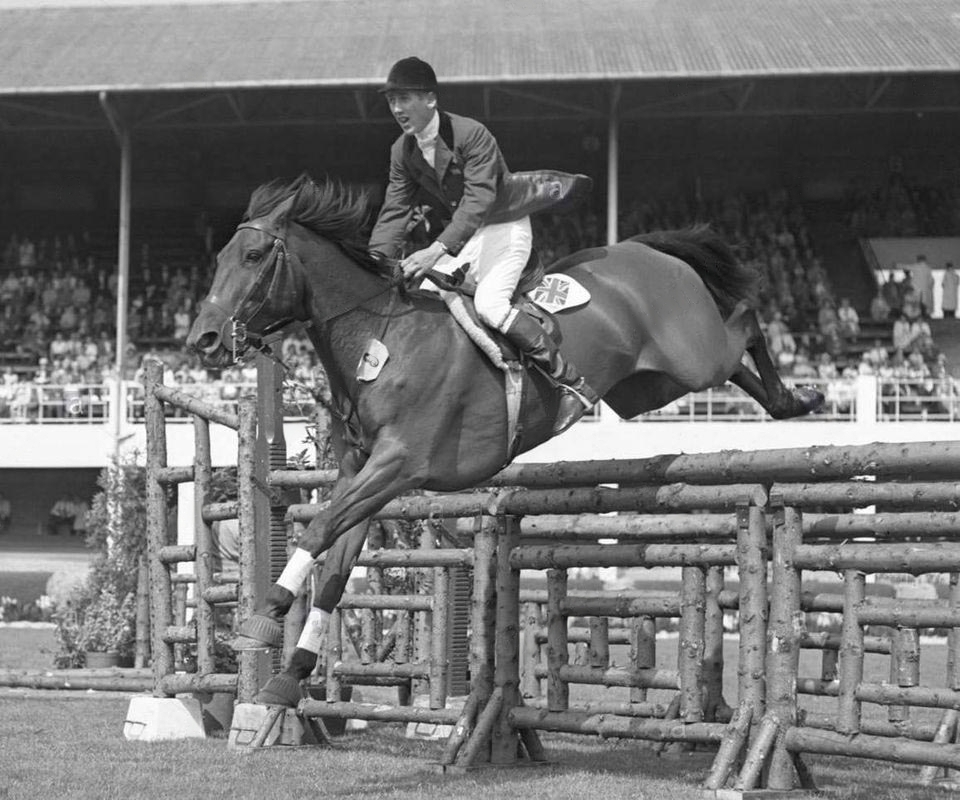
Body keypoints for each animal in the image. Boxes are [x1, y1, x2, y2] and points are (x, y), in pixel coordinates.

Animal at [188, 172, 824, 704]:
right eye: (216, 258)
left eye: (252, 256)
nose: (203, 340)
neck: (380, 339)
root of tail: (642, 249)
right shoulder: (360, 474)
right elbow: (335, 569)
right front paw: (288, 678)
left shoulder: (397, 465)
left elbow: (319, 527)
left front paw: (264, 613)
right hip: (649, 387)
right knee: (735, 360)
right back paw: (788, 402)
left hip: (692, 358)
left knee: (746, 319)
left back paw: (801, 398)